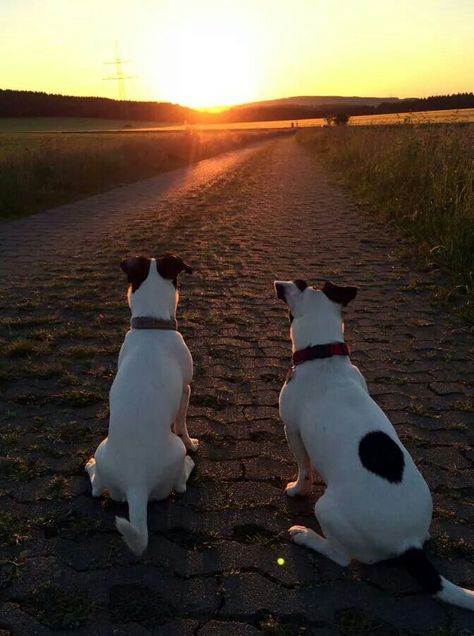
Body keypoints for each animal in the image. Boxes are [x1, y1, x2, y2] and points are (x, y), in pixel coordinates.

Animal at [86, 256, 197, 556]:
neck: (152, 325)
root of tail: (137, 484)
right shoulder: (186, 388)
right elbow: (182, 420)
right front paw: (192, 441)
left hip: (102, 451)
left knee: (95, 488)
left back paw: (89, 466)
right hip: (175, 453)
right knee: (180, 485)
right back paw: (189, 463)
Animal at [274, 280, 474, 612]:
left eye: (299, 283)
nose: (278, 283)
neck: (324, 357)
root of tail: (408, 544)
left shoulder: (293, 430)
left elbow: (303, 469)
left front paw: (296, 489)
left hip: (326, 508)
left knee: (343, 557)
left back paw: (306, 536)